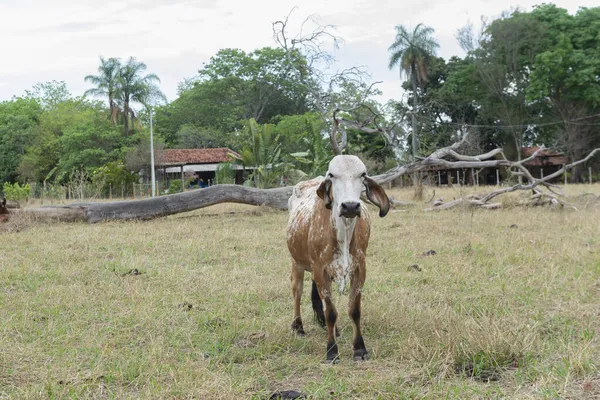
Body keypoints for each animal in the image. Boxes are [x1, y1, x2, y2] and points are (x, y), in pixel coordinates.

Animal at [288, 155, 392, 362]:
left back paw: (334, 331)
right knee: (297, 291)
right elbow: (330, 312)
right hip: (297, 263)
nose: (350, 206)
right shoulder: (320, 271)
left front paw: (359, 349)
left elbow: (354, 310)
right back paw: (298, 327)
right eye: (332, 175)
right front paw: (331, 351)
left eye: (363, 175)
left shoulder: (360, 269)